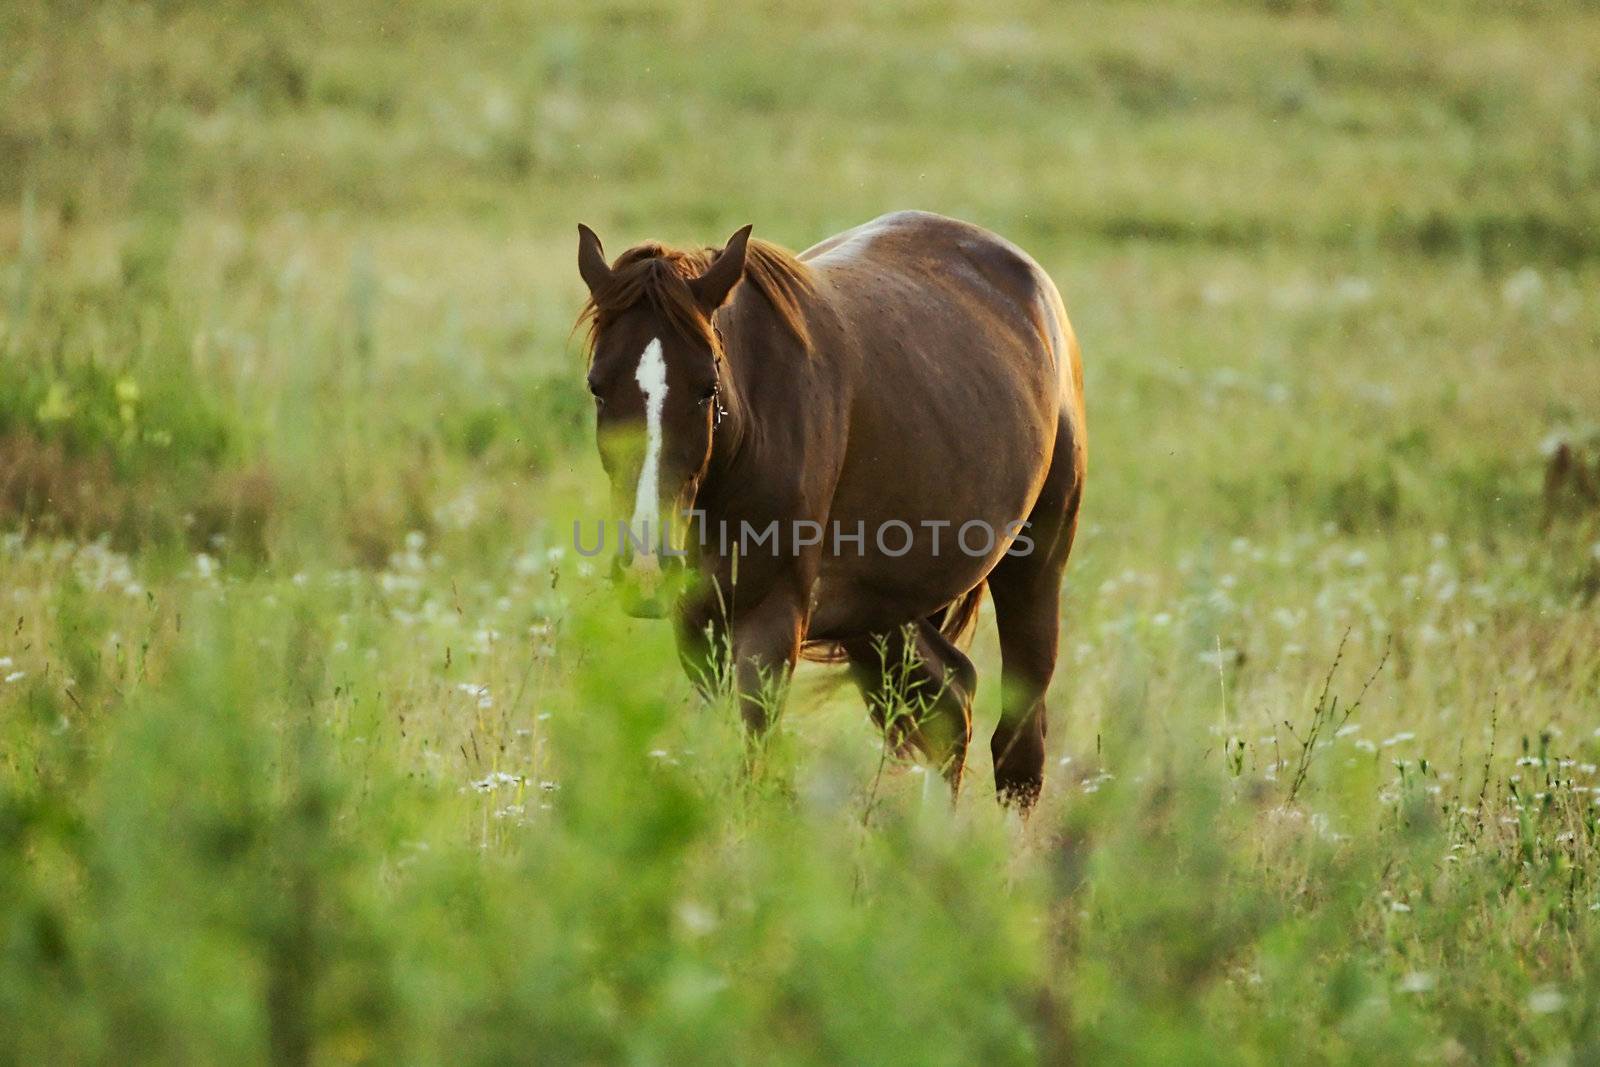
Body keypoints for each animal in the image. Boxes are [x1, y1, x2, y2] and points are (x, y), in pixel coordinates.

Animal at [576, 211, 1088, 809]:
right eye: (597, 388)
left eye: (706, 387)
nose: (646, 567)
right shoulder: (699, 626)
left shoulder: (770, 622)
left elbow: (749, 766)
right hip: (879, 611)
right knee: (948, 703)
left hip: (1035, 568)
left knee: (1018, 750)